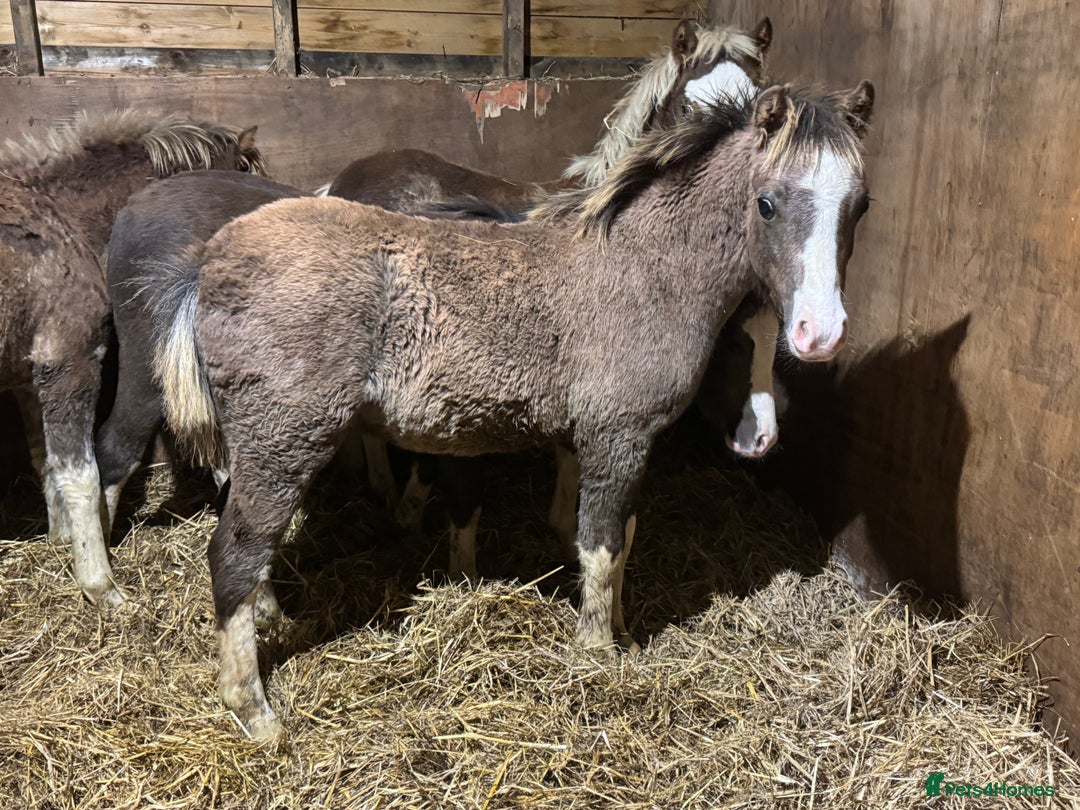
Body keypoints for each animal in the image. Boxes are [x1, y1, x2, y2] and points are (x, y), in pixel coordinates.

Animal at [0, 111, 265, 608]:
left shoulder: (30, 375)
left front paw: (61, 539)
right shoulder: (69, 363)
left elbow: (45, 460)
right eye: (243, 174)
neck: (60, 217)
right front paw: (99, 583)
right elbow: (81, 472)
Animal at [151, 81, 874, 738]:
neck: (642, 270)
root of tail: (207, 267)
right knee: (233, 555)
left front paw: (618, 629)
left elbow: (620, 536)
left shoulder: (613, 441)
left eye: (860, 205)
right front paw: (597, 655)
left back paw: (271, 619)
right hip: (285, 442)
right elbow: (603, 546)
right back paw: (255, 711)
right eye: (768, 203)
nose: (820, 333)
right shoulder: (617, 437)